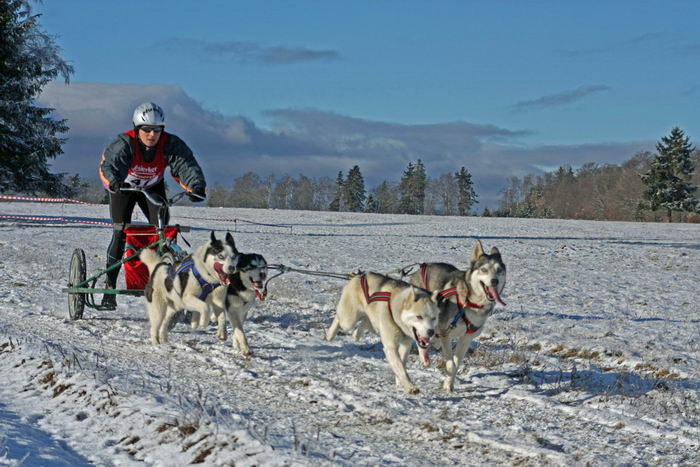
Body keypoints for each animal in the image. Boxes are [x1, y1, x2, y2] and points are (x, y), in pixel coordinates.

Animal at [408, 239, 506, 394]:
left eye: (499, 270)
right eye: (484, 269)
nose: (494, 281)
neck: (471, 303)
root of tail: (421, 267)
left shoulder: (466, 337)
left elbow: (457, 362)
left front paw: (449, 383)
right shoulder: (445, 333)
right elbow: (451, 364)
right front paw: (448, 383)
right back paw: (424, 355)